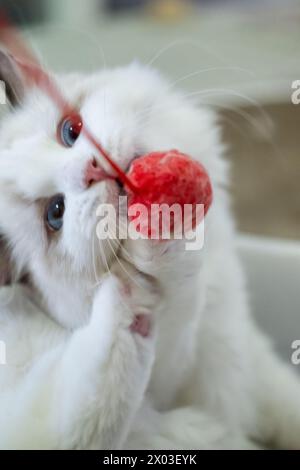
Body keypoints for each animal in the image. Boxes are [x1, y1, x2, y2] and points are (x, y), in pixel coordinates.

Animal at [0, 49, 300, 450]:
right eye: (55, 214)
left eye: (70, 131)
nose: (90, 169)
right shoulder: (181, 382)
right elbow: (179, 310)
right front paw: (156, 252)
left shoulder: (240, 343)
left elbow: (286, 400)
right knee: (83, 415)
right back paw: (124, 295)